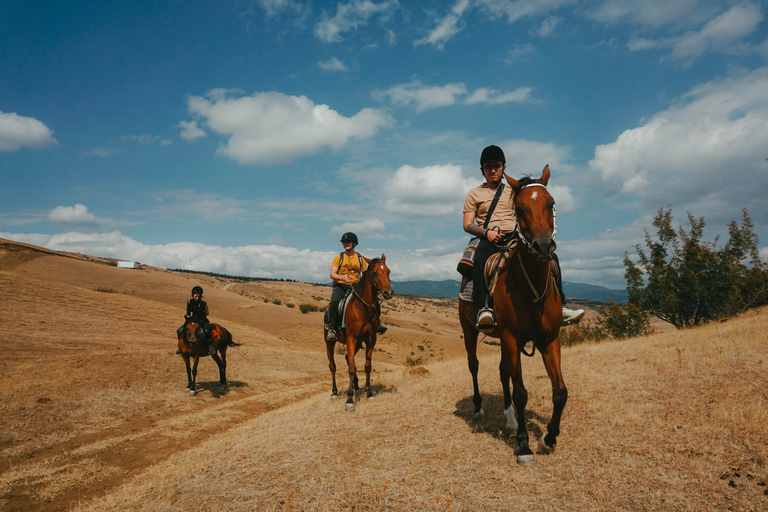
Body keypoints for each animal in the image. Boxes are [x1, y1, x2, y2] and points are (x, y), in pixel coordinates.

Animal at [326, 256, 396, 412]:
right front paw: (350, 400)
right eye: (375, 273)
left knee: (347, 357)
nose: (388, 292)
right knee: (332, 365)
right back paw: (334, 392)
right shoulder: (351, 339)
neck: (364, 309)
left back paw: (356, 384)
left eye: (388, 271)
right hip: (330, 342)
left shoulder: (371, 340)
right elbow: (352, 368)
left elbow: (367, 366)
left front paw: (369, 393)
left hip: (358, 344)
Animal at [460, 166, 568, 466]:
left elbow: (560, 391)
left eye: (551, 203)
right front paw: (523, 445)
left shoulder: (548, 339)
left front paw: (548, 439)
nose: (543, 247)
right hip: (471, 329)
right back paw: (479, 409)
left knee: (502, 371)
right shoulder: (510, 337)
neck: (531, 284)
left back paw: (509, 419)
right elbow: (521, 393)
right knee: (474, 365)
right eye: (519, 208)